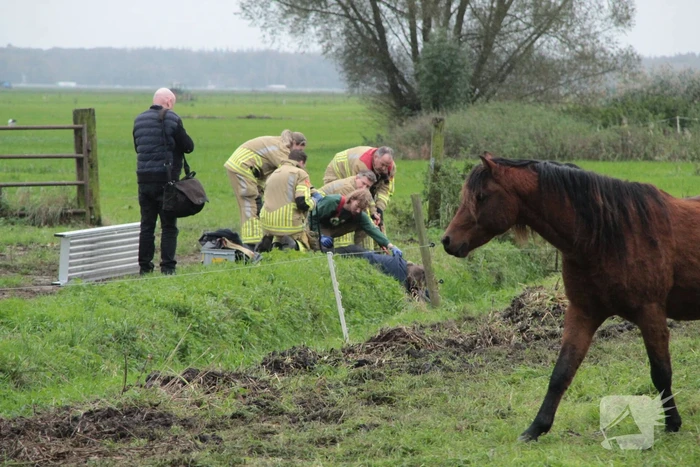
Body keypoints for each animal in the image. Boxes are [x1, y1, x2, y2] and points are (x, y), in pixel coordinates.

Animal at [441, 153, 700, 441]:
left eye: (481, 196)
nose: (447, 240)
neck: (607, 235)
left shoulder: (651, 313)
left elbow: (661, 372)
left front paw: (672, 423)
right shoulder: (583, 312)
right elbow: (561, 372)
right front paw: (536, 428)